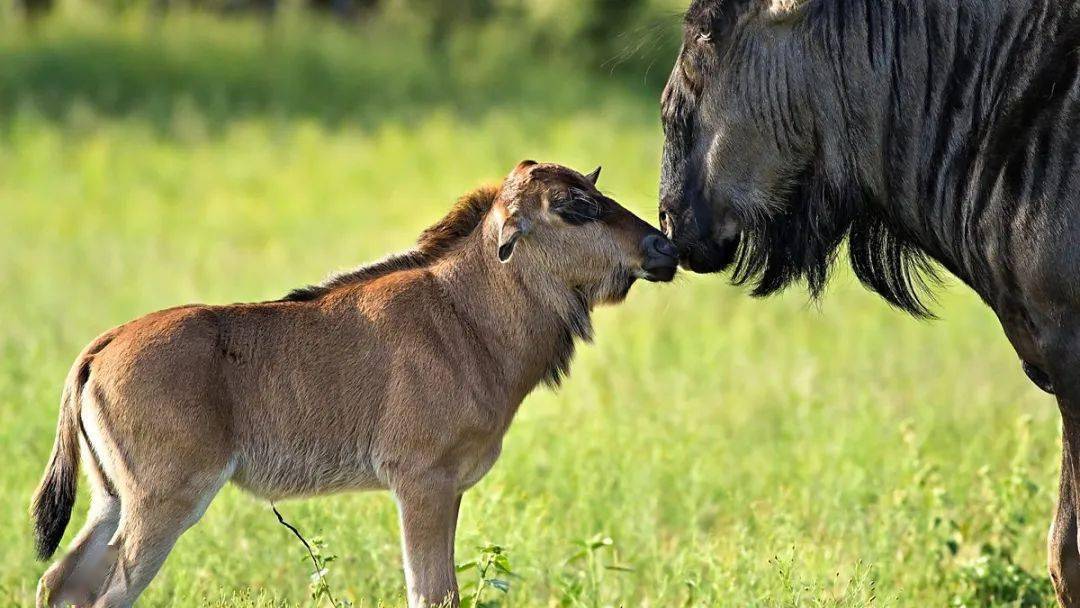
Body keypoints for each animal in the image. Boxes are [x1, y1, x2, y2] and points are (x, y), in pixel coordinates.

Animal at [31, 159, 673, 604]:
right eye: (572, 205)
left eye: (595, 189)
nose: (662, 245)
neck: (465, 315)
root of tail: (100, 349)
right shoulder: (421, 483)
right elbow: (432, 594)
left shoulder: (451, 489)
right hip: (163, 504)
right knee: (110, 593)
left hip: (111, 501)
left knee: (60, 582)